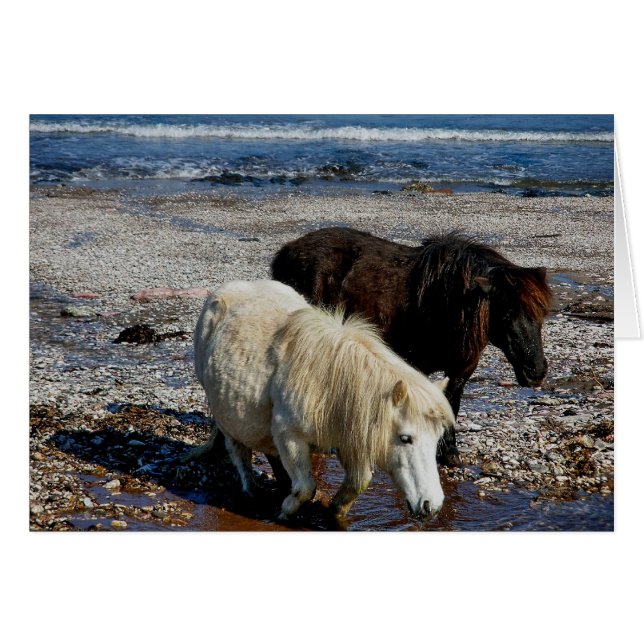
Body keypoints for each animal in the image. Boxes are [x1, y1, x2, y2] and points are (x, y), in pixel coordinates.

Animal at [193, 279, 454, 520]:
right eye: (405, 438)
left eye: (437, 438)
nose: (432, 506)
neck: (328, 383)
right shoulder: (289, 436)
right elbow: (306, 487)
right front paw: (285, 511)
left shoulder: (350, 439)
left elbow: (357, 483)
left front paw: (335, 511)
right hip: (223, 413)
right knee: (238, 450)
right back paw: (251, 489)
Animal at [271, 227, 552, 465]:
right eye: (507, 315)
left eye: (541, 316)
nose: (536, 371)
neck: (447, 302)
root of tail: (287, 251)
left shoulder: (461, 371)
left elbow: (452, 405)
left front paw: (449, 453)